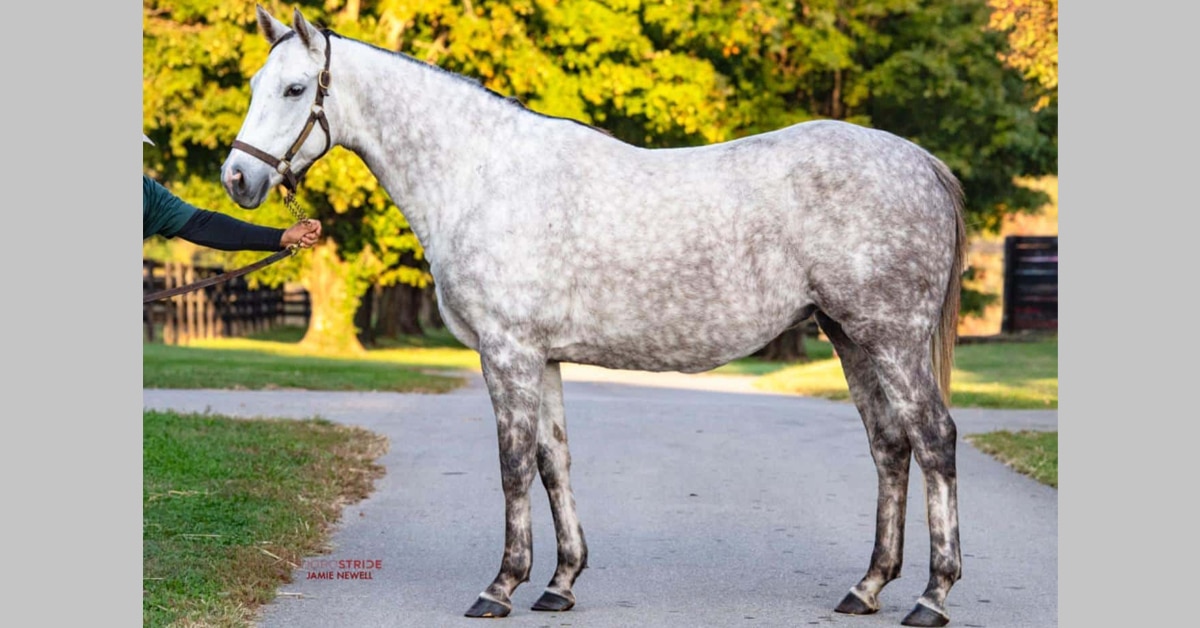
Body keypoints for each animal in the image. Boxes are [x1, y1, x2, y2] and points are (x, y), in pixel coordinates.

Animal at [221, 7, 968, 627]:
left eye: (295, 90)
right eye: (255, 83)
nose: (236, 178)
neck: (481, 174)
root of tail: (920, 161)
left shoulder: (508, 351)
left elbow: (513, 464)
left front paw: (500, 587)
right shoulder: (544, 357)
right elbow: (555, 461)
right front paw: (560, 583)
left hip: (891, 339)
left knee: (933, 440)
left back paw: (931, 597)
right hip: (850, 338)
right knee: (889, 447)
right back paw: (867, 588)